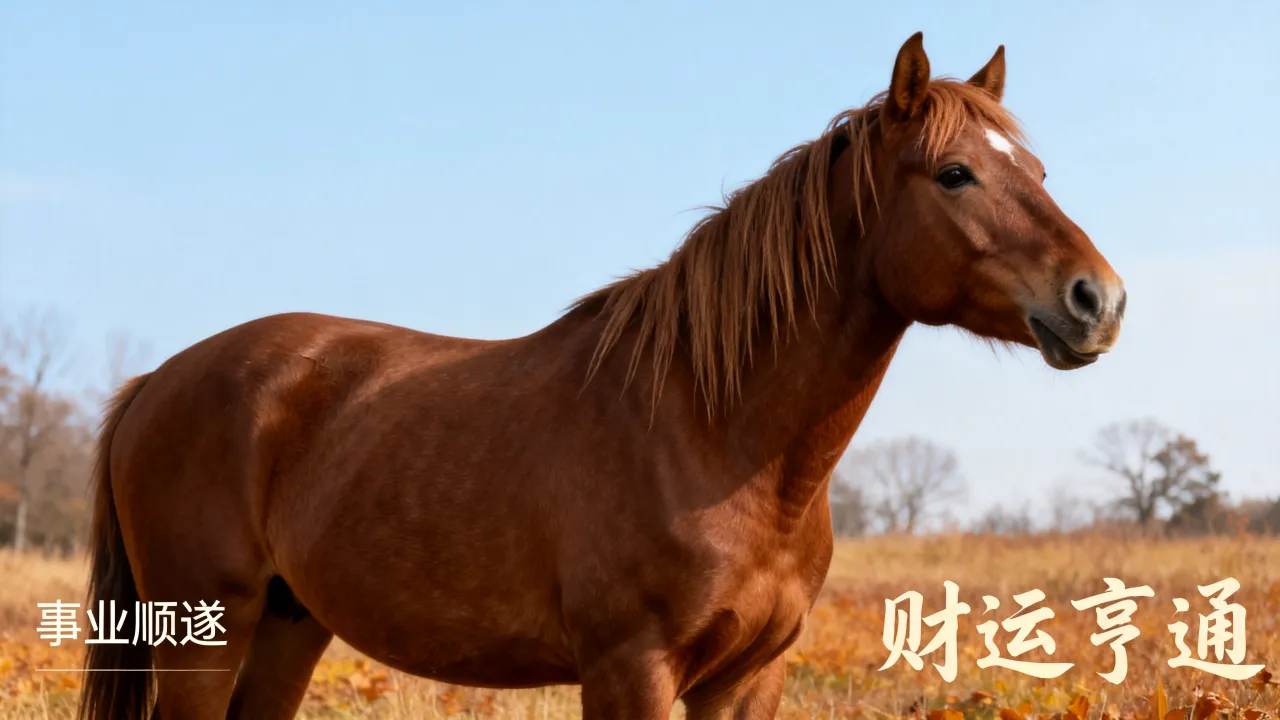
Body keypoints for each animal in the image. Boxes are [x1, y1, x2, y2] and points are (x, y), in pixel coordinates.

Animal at [79, 32, 1125, 719]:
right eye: (954, 174)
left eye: (1037, 170)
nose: (1098, 301)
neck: (715, 432)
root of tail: (155, 383)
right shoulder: (632, 670)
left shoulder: (748, 679)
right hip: (206, 630)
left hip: (287, 625)